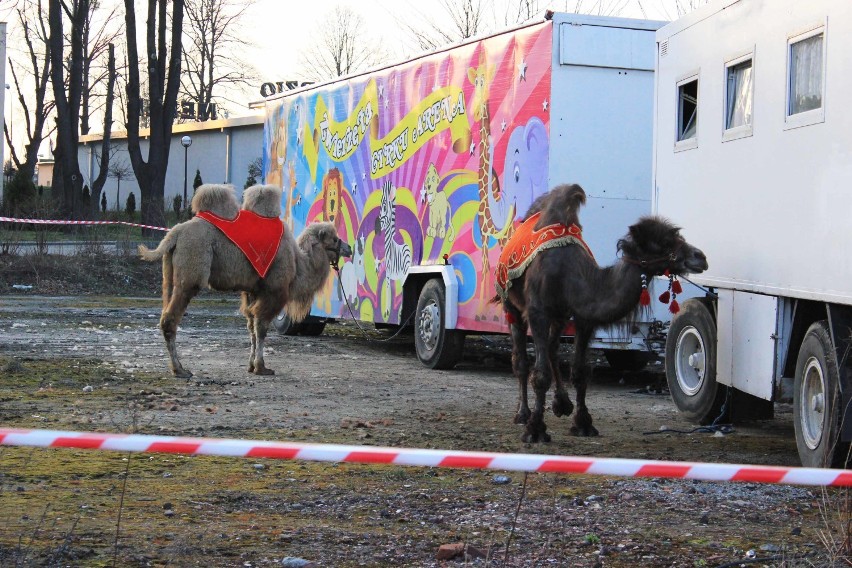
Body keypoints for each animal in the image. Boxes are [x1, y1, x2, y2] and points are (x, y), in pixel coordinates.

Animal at [141, 183, 352, 378]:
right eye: (334, 239)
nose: (349, 248)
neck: (298, 261)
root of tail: (174, 233)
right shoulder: (273, 289)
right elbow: (261, 327)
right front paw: (261, 367)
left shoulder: (253, 290)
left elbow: (251, 326)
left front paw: (251, 366)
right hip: (191, 271)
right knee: (170, 319)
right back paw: (180, 370)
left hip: (169, 276)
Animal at [496, 184, 708, 442]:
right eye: (663, 242)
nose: (700, 257)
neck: (570, 275)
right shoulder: (538, 312)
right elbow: (541, 375)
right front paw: (535, 430)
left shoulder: (583, 317)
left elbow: (580, 372)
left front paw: (583, 424)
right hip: (512, 305)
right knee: (521, 360)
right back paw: (522, 414)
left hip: (559, 317)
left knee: (552, 349)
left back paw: (562, 404)